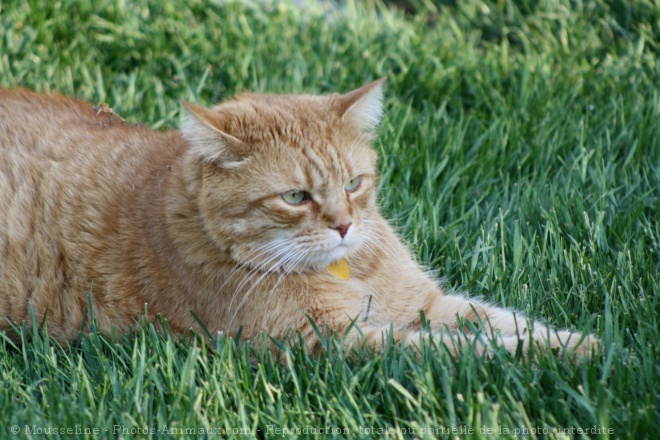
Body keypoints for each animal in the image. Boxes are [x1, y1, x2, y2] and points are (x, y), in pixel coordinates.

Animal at [0, 81, 600, 358]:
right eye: (295, 196)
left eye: (354, 183)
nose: (344, 226)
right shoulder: (328, 343)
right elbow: (466, 350)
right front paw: (570, 358)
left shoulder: (422, 303)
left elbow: (503, 322)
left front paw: (583, 343)